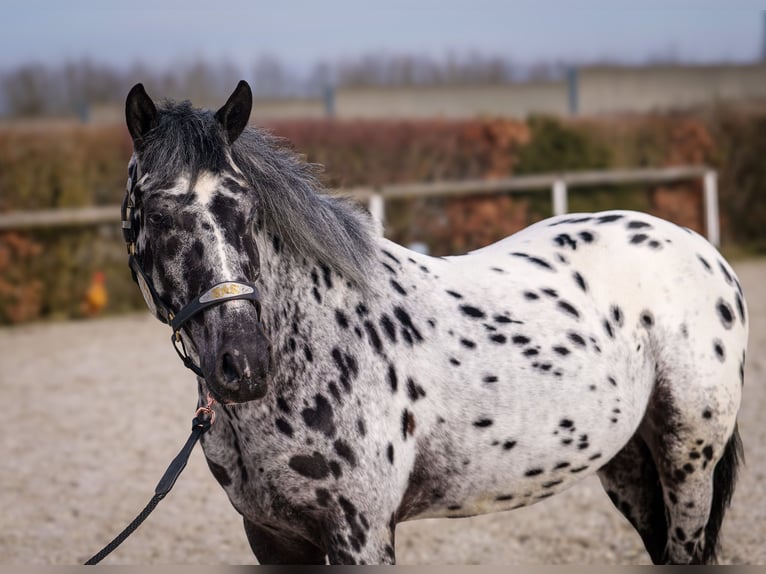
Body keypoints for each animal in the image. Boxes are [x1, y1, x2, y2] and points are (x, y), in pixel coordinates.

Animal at [121, 81, 752, 568]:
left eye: (248, 208)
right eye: (155, 212)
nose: (245, 363)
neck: (315, 349)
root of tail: (699, 247)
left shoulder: (362, 537)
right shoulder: (272, 539)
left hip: (688, 462)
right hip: (627, 465)